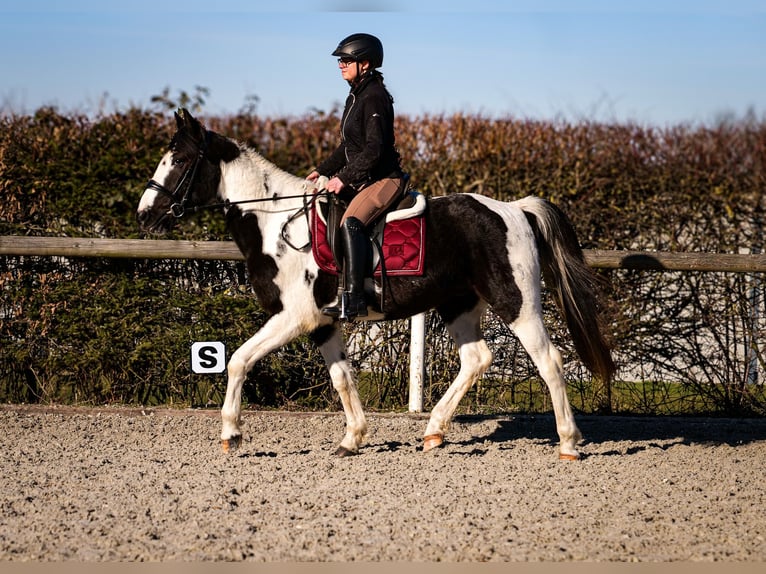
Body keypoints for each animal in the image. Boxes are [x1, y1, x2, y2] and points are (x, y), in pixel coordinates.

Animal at [140, 110, 616, 464]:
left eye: (178, 161)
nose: (145, 215)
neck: (275, 225)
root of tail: (514, 209)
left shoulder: (293, 317)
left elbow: (238, 360)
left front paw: (231, 433)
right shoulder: (322, 323)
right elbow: (342, 378)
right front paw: (352, 439)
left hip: (516, 302)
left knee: (549, 361)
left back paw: (569, 443)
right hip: (458, 304)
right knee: (477, 358)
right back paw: (433, 432)